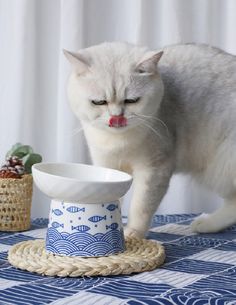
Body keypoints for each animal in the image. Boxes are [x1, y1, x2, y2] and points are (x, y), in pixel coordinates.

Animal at [63, 42, 236, 238]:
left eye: (131, 101)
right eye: (99, 102)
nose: (116, 118)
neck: (118, 141)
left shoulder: (154, 168)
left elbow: (141, 205)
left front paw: (133, 234)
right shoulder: (107, 166)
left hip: (219, 165)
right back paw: (207, 224)